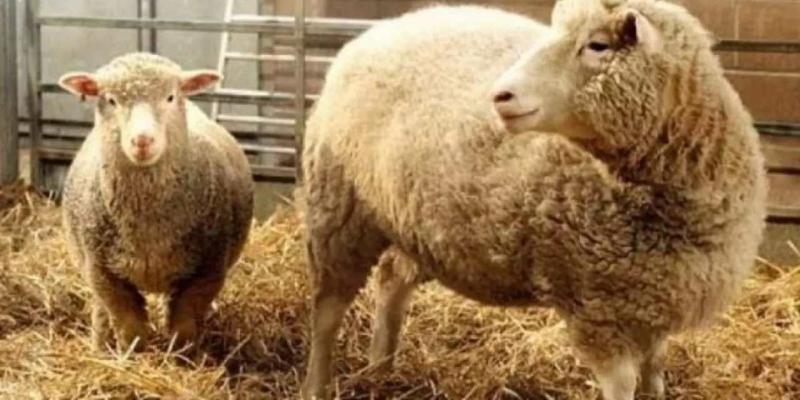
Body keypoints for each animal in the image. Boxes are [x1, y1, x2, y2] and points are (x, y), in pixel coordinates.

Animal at [58, 53, 254, 352]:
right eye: (111, 100)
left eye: (170, 97)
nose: (142, 140)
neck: (148, 227)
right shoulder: (104, 273)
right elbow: (130, 329)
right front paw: (133, 357)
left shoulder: (206, 272)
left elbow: (184, 327)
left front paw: (182, 358)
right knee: (100, 310)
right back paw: (100, 346)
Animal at [300, 0, 767, 399]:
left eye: (597, 45)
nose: (500, 96)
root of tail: (373, 34)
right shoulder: (597, 308)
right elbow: (622, 384)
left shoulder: (654, 300)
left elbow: (654, 373)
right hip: (339, 211)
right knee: (326, 313)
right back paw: (316, 383)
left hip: (417, 222)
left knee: (391, 281)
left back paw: (381, 367)